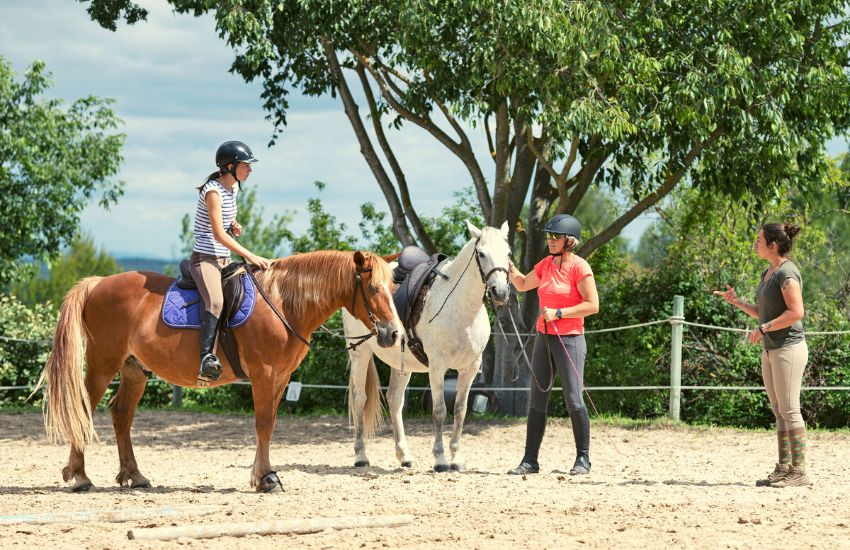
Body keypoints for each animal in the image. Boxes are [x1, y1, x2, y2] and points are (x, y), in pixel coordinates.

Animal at [36, 252, 400, 494]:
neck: (282, 302)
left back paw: (133, 476)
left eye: (391, 287)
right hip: (102, 365)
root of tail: (97, 284)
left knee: (121, 414)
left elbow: (270, 425)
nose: (393, 334)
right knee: (83, 410)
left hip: (135, 371)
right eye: (372, 288)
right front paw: (265, 478)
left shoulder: (281, 379)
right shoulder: (264, 375)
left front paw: (262, 474)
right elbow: (263, 425)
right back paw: (79, 476)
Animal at [340, 222, 510, 472]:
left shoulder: (469, 369)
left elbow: (460, 411)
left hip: (401, 363)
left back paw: (405, 456)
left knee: (394, 400)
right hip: (359, 353)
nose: (500, 292)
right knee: (359, 398)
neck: (459, 308)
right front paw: (440, 460)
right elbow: (439, 411)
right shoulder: (437, 367)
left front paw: (456, 459)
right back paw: (361, 456)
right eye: (481, 254)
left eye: (508, 254)